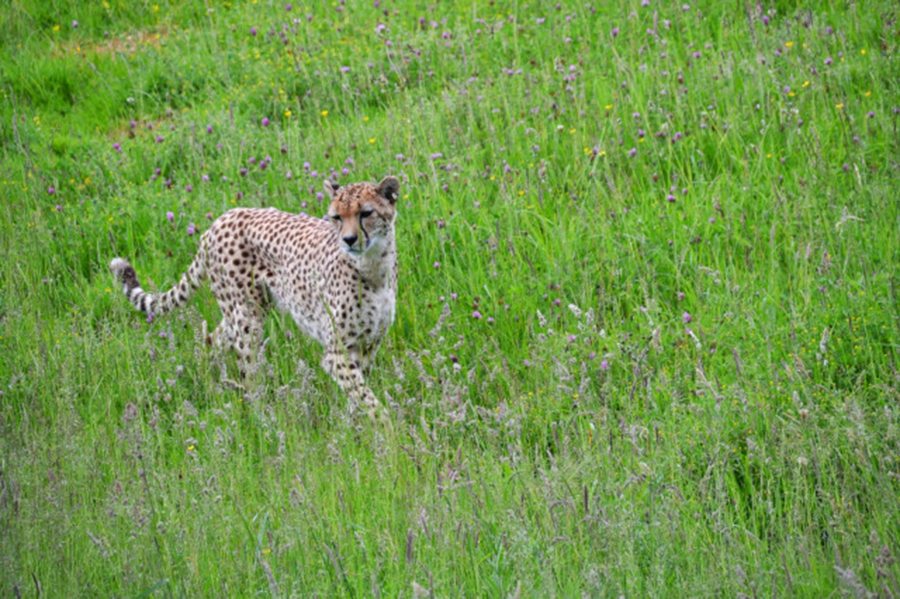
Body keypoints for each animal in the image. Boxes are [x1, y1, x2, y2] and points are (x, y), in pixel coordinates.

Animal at [110, 173, 400, 418]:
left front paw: (354, 425)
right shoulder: (338, 352)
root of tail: (222, 219)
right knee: (247, 371)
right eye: (337, 217)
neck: (373, 267)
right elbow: (368, 399)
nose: (349, 240)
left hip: (243, 311)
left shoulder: (368, 343)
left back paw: (212, 382)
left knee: (212, 339)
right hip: (247, 317)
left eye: (366, 213)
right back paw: (261, 417)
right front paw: (387, 432)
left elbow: (359, 391)